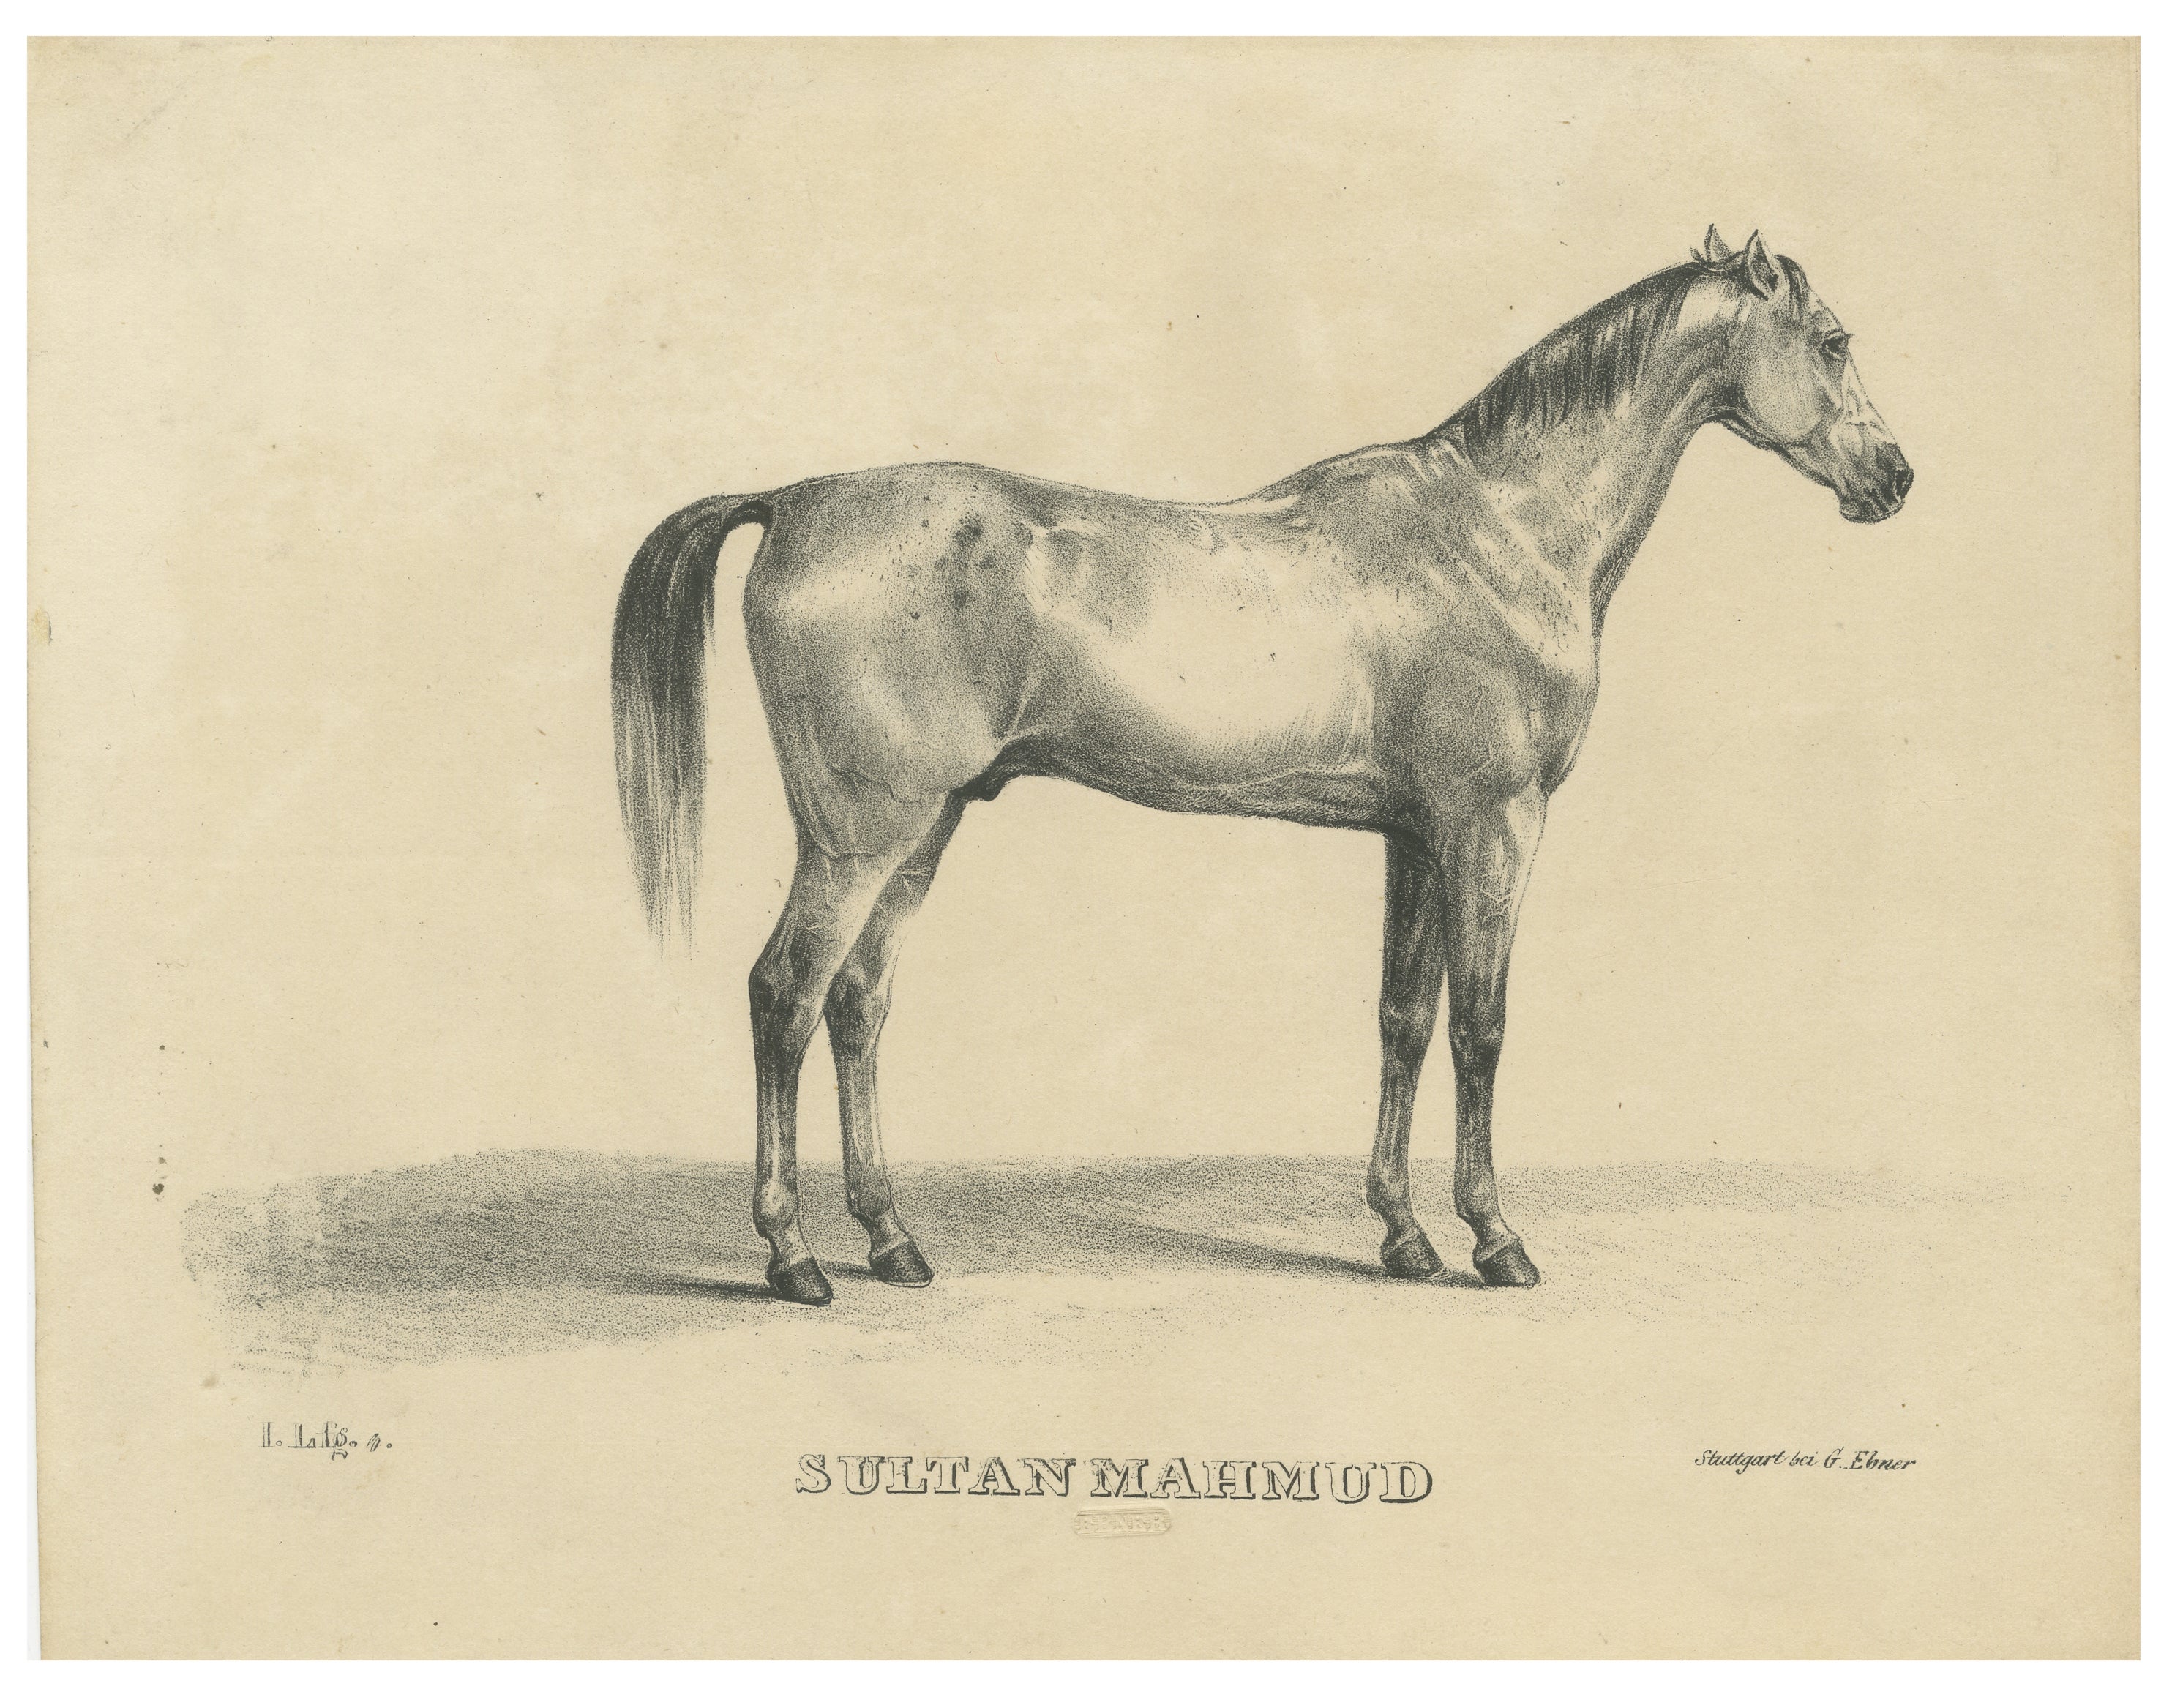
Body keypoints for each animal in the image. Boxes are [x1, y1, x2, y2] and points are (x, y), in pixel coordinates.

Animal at [611, 227, 1911, 1305]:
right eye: (1834, 339)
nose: (1894, 477)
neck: (1498, 531)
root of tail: (792, 501)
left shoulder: (1416, 836)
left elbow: (1403, 1019)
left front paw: (1402, 1235)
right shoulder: (1494, 824)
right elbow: (1482, 1025)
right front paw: (1495, 1239)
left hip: (924, 828)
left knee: (856, 1005)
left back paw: (893, 1242)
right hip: (861, 836)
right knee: (783, 995)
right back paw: (792, 1259)